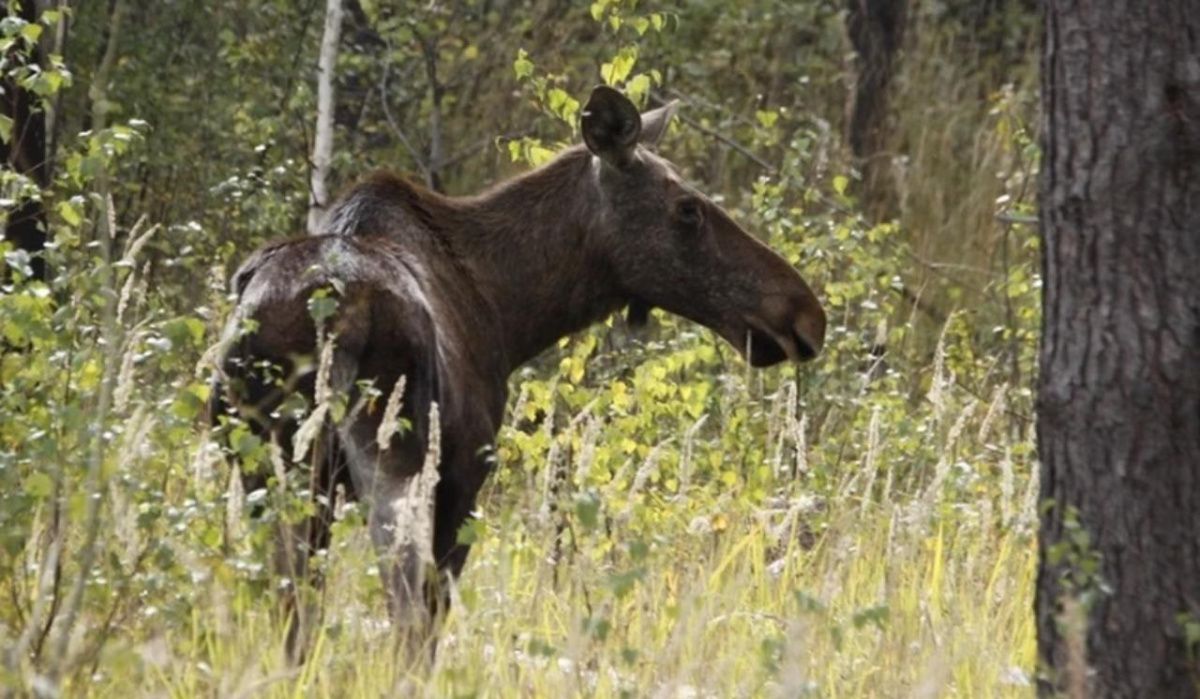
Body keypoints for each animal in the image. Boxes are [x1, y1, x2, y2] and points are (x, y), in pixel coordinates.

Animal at [211, 84, 825, 658]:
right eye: (688, 208)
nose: (804, 313)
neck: (510, 313)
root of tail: (330, 309)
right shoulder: (463, 481)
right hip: (395, 461)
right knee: (403, 610)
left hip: (273, 471)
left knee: (293, 609)